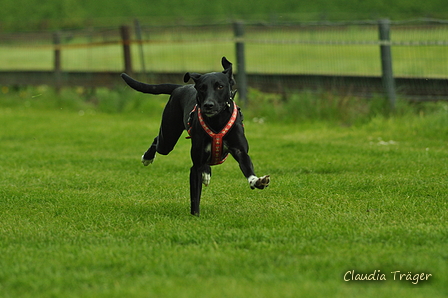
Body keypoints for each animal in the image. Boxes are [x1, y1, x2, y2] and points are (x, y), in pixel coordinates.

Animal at [120, 57, 270, 215]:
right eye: (202, 88)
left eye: (220, 86)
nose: (208, 105)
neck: (216, 121)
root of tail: (180, 87)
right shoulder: (196, 165)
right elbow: (195, 195)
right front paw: (195, 216)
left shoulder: (240, 151)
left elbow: (247, 167)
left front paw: (256, 181)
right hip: (167, 138)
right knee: (158, 141)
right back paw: (148, 157)